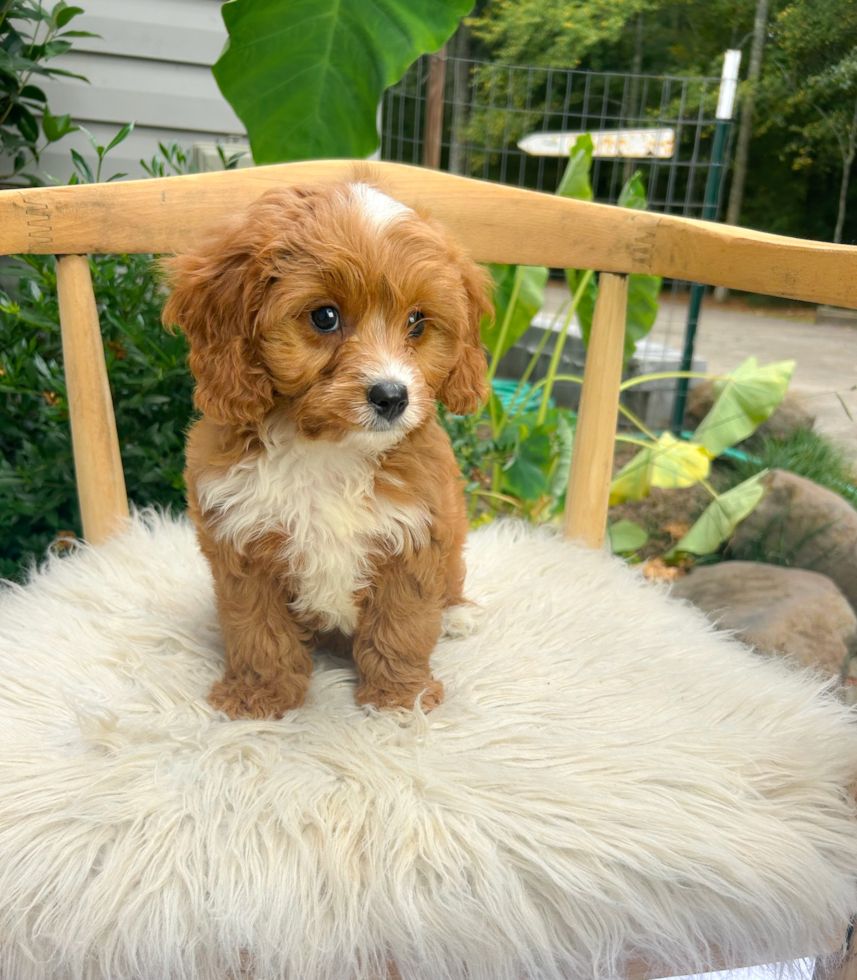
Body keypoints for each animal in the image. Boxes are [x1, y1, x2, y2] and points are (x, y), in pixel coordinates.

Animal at [161, 178, 492, 720]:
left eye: (418, 322)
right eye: (325, 317)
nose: (392, 396)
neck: (328, 446)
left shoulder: (414, 535)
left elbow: (402, 627)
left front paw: (399, 700)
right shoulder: (242, 543)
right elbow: (257, 632)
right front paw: (259, 698)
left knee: (451, 582)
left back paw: (456, 615)